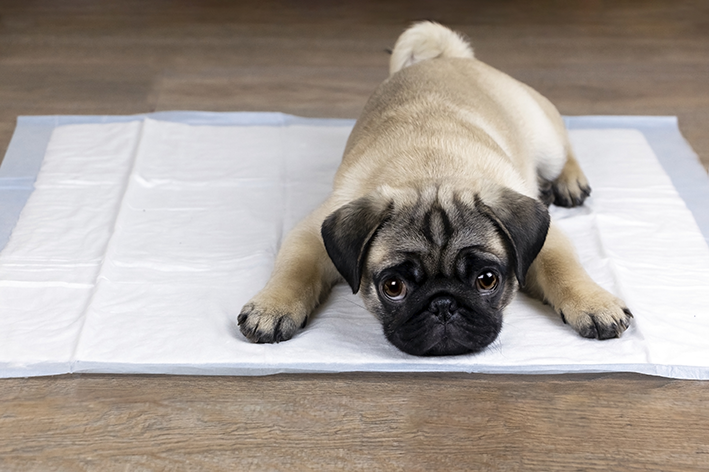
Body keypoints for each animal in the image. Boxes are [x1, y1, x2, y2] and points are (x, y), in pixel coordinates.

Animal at [238, 21, 632, 354]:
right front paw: (272, 307)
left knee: (565, 146)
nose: (443, 304)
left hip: (544, 138)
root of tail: (448, 59)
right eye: (393, 287)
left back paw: (570, 182)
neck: (432, 172)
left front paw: (595, 303)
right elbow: (294, 267)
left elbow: (563, 268)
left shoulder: (546, 239)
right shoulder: (312, 233)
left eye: (487, 280)